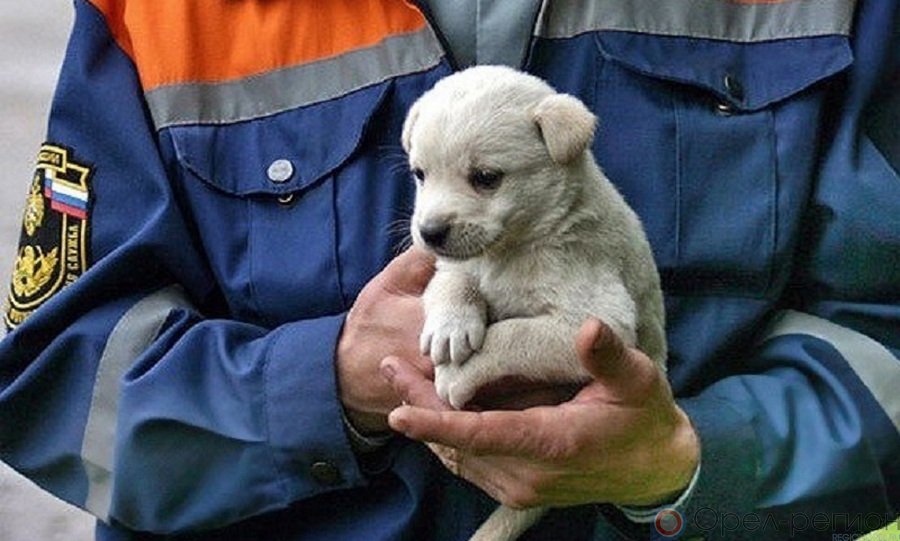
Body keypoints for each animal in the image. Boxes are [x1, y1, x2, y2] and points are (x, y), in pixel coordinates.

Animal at [404, 65, 664, 536]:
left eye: (486, 177)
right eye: (420, 174)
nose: (429, 232)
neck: (513, 252)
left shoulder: (598, 318)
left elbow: (515, 333)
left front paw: (458, 374)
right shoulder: (456, 265)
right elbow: (453, 281)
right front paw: (449, 329)